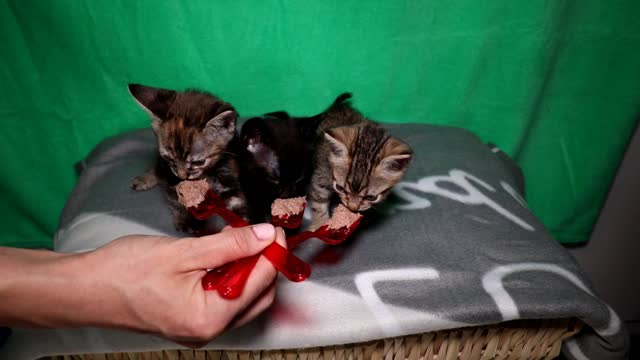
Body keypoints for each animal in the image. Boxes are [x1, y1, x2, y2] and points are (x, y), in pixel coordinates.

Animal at [128, 83, 248, 233]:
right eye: (170, 159)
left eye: (199, 162)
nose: (182, 176)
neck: (207, 175)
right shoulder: (170, 175)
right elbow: (176, 198)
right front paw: (186, 218)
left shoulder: (228, 172)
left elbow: (235, 200)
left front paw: (245, 223)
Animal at [308, 95, 410, 231]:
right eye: (340, 188)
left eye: (371, 197)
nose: (352, 207)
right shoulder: (322, 173)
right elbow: (319, 201)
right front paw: (319, 224)